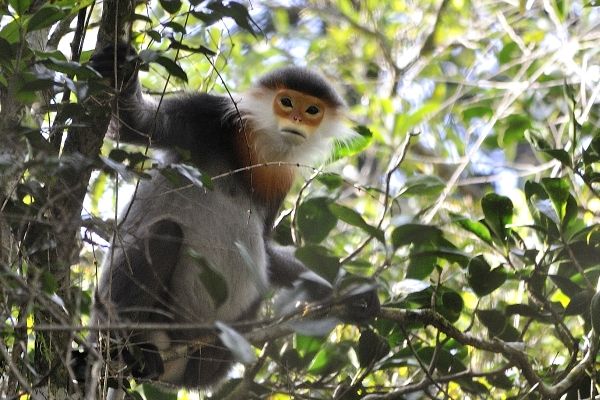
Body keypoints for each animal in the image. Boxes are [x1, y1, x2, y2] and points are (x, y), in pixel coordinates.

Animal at [87, 45, 379, 392]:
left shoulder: (281, 177)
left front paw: (352, 291)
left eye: (312, 110)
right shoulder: (207, 115)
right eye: (286, 102)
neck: (260, 149)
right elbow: (134, 123)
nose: (296, 119)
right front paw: (120, 69)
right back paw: (133, 346)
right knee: (166, 231)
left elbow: (265, 248)